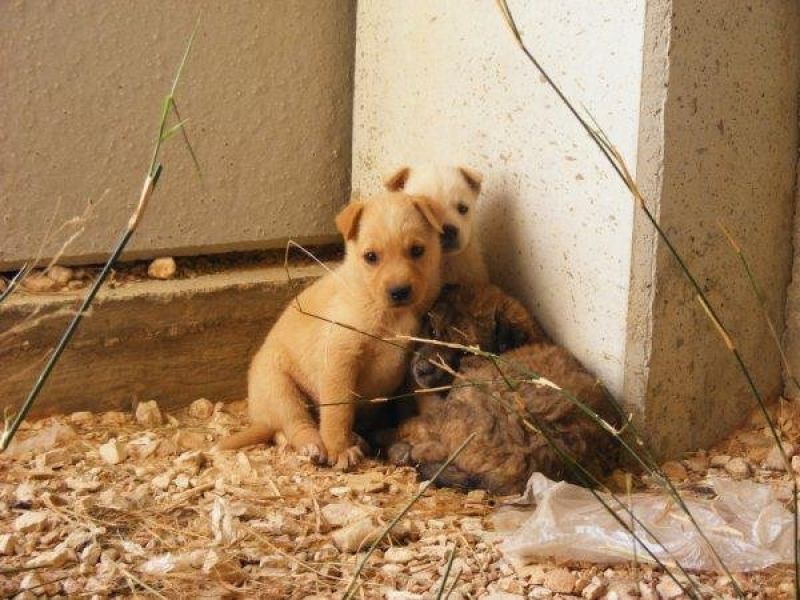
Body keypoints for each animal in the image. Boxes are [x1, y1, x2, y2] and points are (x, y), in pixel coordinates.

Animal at [216, 190, 446, 472]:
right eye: (371, 257)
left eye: (417, 250)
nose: (400, 291)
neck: (388, 313)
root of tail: (260, 419)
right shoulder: (339, 360)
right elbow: (338, 412)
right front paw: (339, 449)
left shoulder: (413, 359)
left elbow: (421, 397)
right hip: (279, 387)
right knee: (296, 424)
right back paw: (314, 446)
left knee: (281, 433)